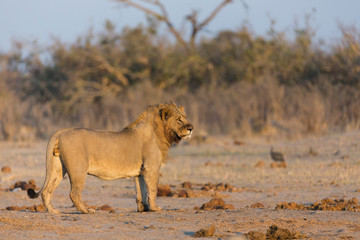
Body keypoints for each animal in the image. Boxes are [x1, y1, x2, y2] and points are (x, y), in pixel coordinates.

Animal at [27, 103, 194, 214]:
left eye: (185, 118)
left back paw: (52, 211)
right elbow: (152, 189)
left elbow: (141, 191)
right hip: (78, 169)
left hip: (57, 168)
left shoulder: (140, 172)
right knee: (74, 193)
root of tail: (61, 131)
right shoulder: (151, 168)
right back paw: (86, 210)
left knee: (47, 191)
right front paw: (155, 208)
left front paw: (143, 208)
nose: (191, 128)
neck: (160, 132)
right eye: (179, 119)